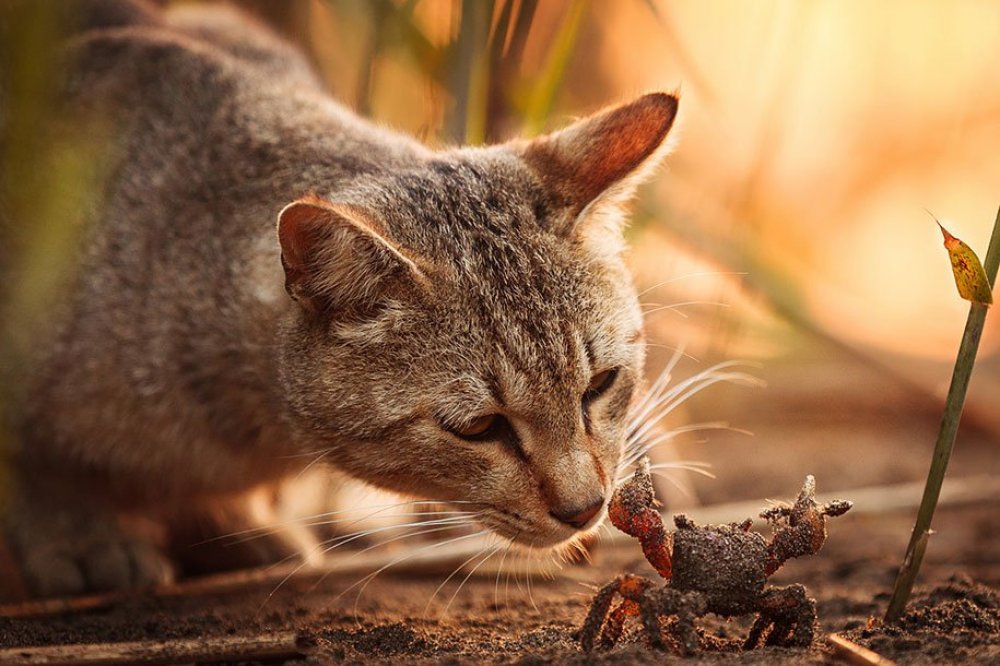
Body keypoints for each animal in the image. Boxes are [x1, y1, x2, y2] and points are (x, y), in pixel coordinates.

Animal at [1, 0, 680, 596]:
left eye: (600, 384)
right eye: (478, 427)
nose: (585, 508)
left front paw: (226, 520)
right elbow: (37, 469)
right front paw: (81, 537)